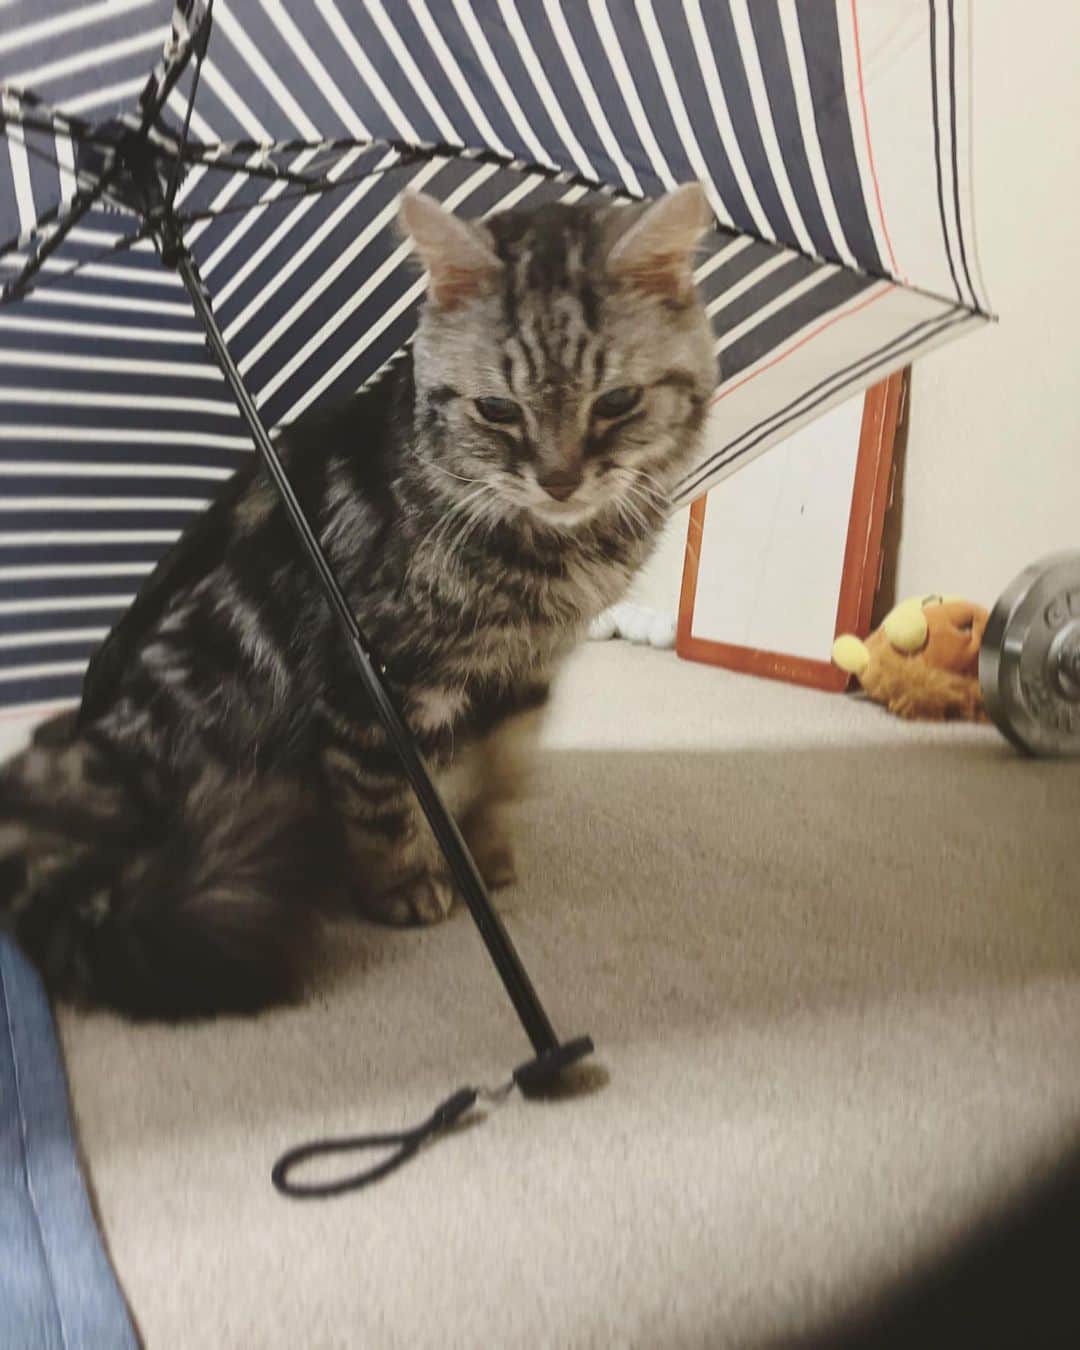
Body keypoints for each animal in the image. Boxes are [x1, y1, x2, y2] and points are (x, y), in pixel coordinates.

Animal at [0, 183, 716, 1018]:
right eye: (499, 410)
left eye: (618, 401)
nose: (560, 480)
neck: (547, 555)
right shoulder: (373, 685)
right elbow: (382, 801)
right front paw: (405, 885)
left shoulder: (522, 676)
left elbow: (501, 770)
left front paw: (484, 854)